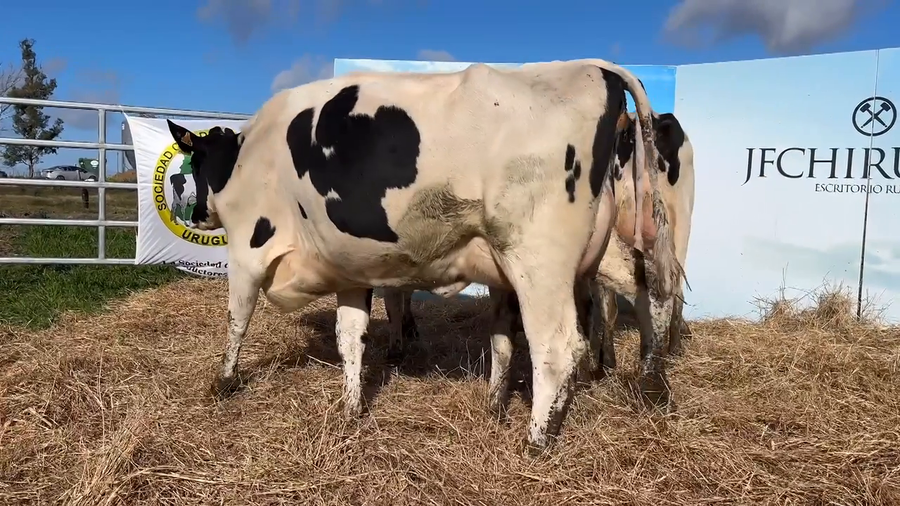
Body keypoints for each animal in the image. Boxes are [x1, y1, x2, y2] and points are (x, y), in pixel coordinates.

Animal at [164, 58, 682, 451]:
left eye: (196, 162)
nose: (194, 212)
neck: (247, 155)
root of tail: (595, 67)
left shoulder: (248, 248)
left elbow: (237, 319)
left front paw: (224, 381)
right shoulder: (351, 266)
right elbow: (350, 337)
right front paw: (351, 408)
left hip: (538, 256)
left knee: (557, 345)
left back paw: (537, 438)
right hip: (604, 244)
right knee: (650, 288)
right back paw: (650, 382)